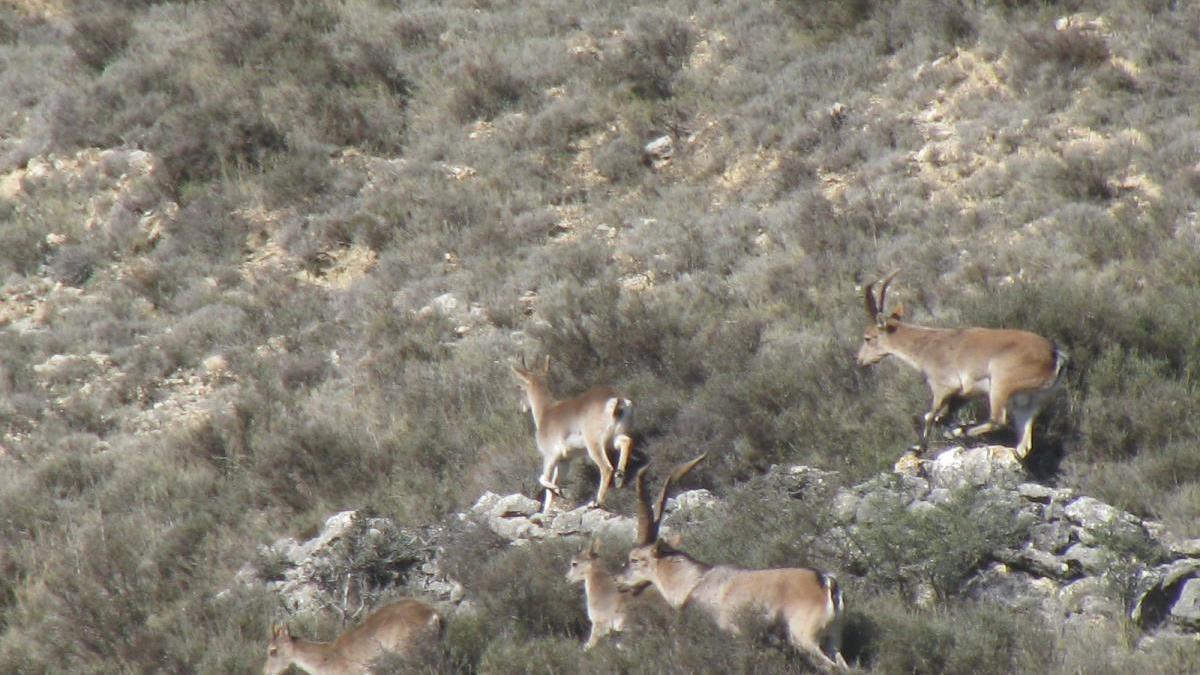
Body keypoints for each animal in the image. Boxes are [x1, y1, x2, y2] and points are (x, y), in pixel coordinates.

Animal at [511, 355, 633, 506]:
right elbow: (551, 490)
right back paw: (619, 479)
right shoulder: (565, 460)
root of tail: (617, 399)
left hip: (594, 445)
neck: (546, 412)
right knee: (626, 441)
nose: (521, 407)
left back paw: (596, 502)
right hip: (612, 439)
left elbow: (544, 479)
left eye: (520, 387)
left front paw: (558, 491)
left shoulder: (550, 456)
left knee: (606, 468)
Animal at [614, 454, 849, 667]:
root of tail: (826, 582)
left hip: (804, 637)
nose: (618, 581)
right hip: (833, 639)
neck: (694, 583)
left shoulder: (734, 634)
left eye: (634, 559)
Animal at [859, 269, 1065, 456]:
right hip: (1030, 400)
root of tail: (1055, 355)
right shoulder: (963, 394)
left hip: (1001, 383)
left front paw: (920, 447)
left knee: (997, 419)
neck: (927, 347)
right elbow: (941, 416)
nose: (859, 360)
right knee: (1023, 445)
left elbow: (930, 415)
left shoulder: (943, 387)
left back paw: (960, 431)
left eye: (868, 338)